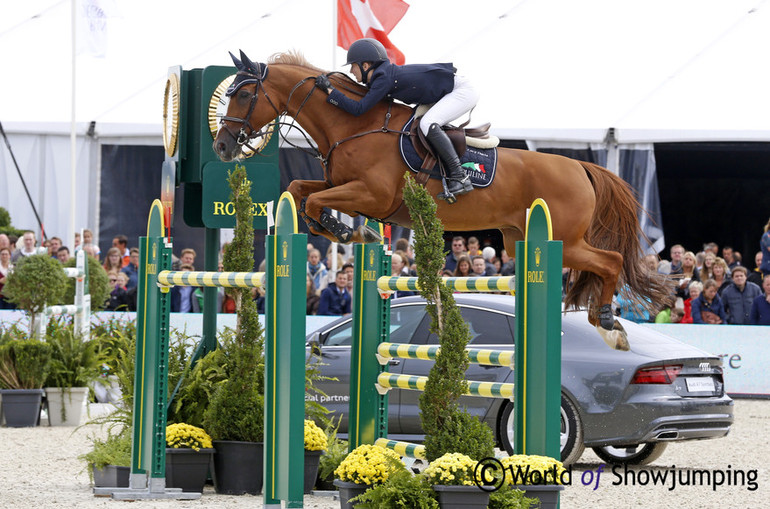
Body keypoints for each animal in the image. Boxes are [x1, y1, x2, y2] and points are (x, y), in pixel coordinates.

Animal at [212, 50, 664, 350]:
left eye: (243, 95)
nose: (221, 147)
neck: (352, 124)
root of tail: (580, 168)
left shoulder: (371, 195)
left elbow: (312, 201)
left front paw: (343, 230)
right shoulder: (341, 187)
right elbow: (298, 192)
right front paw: (346, 231)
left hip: (565, 240)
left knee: (611, 262)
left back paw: (608, 324)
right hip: (521, 238)